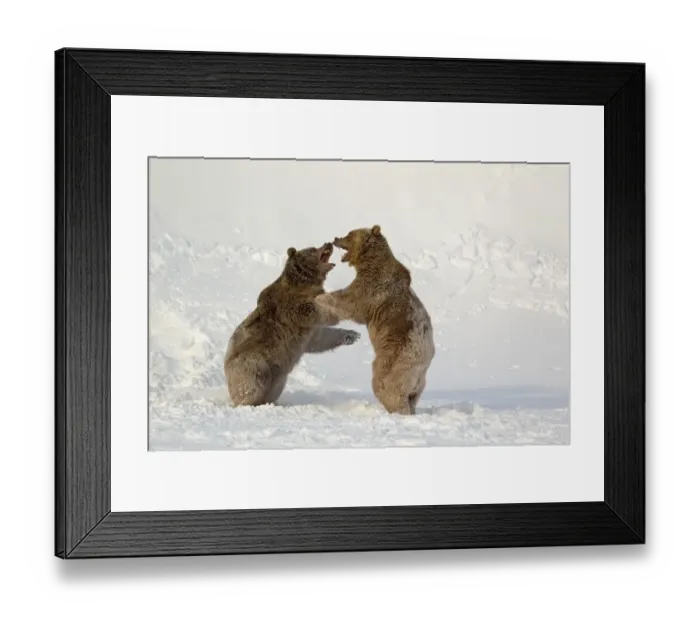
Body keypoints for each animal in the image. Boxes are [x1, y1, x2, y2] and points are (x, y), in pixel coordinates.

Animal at [224, 242, 360, 407]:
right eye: (313, 249)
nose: (328, 243)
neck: (304, 283)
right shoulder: (294, 308)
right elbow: (316, 311)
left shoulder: (309, 332)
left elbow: (320, 339)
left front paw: (351, 335)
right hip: (251, 362)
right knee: (254, 381)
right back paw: (250, 402)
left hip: (279, 380)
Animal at [315, 225, 435, 415]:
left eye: (350, 234)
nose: (335, 238)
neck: (370, 262)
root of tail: (427, 360)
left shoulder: (373, 289)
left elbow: (350, 302)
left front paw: (319, 297)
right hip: (417, 378)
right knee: (412, 395)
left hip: (398, 357)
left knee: (385, 384)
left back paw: (397, 410)